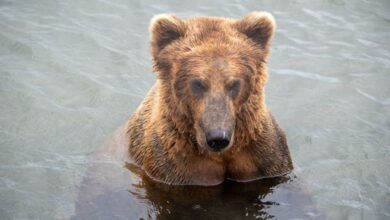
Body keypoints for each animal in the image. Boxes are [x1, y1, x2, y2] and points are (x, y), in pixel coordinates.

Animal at [125, 11, 292, 185]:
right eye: (198, 83)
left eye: (234, 83)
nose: (218, 137)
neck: (223, 155)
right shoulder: (175, 167)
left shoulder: (263, 157)